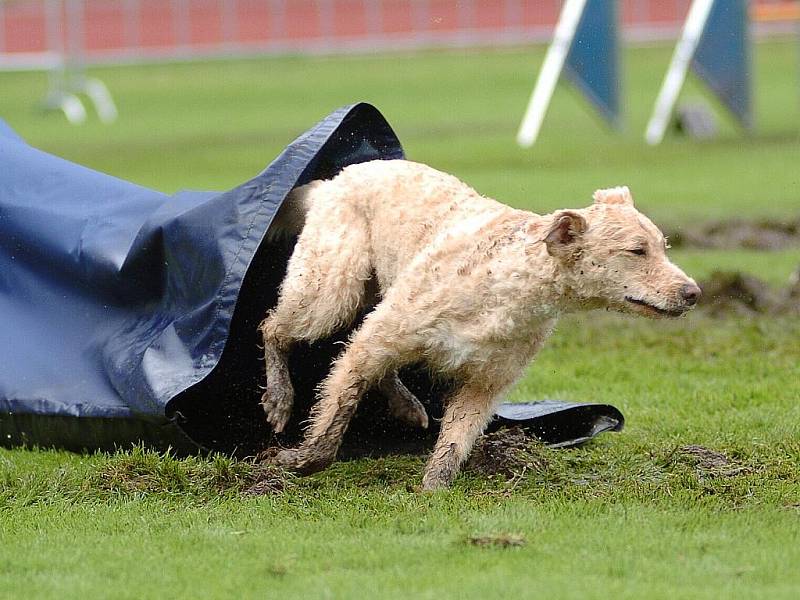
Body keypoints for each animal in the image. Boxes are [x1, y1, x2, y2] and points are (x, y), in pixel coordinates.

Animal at [260, 158, 696, 488]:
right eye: (636, 251)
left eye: (663, 247)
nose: (693, 293)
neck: (507, 285)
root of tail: (334, 180)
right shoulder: (381, 339)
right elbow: (336, 409)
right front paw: (294, 462)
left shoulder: (484, 384)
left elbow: (454, 442)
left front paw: (432, 490)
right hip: (329, 292)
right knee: (274, 327)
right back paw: (279, 400)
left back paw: (406, 406)